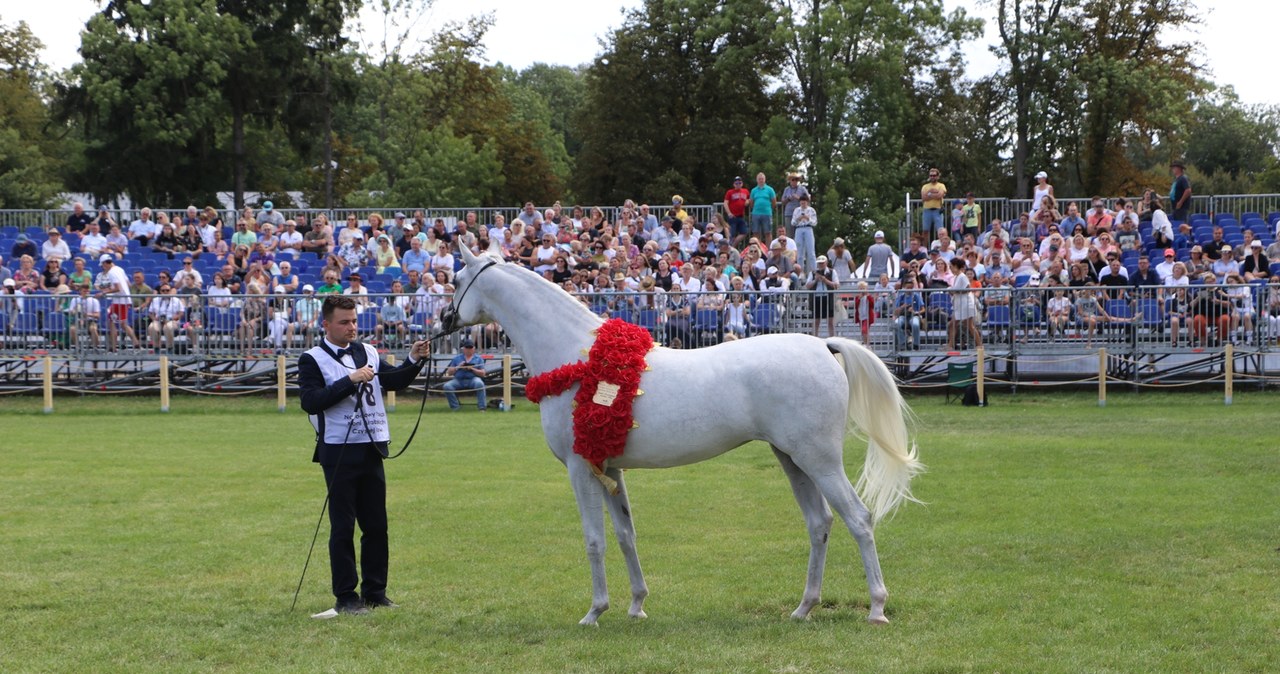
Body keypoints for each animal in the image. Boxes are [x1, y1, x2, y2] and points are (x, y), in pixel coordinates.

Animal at [440, 244, 921, 626]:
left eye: (458, 278)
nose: (443, 320)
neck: (576, 356)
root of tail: (823, 345)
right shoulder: (609, 467)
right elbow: (625, 535)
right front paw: (636, 605)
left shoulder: (580, 468)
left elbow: (594, 540)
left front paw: (594, 612)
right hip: (792, 459)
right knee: (819, 523)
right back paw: (804, 608)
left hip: (819, 461)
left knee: (858, 519)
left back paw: (877, 607)